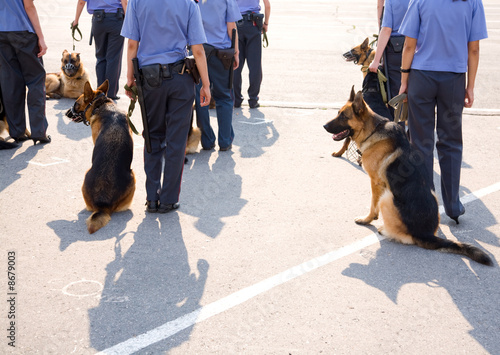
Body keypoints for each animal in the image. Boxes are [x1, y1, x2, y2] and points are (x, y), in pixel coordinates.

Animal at [324, 87, 492, 268]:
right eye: (338, 113)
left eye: (343, 116)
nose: (324, 126)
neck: (373, 130)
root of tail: (427, 235)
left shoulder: (376, 183)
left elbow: (372, 206)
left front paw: (366, 220)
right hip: (432, 194)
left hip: (387, 198)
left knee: (403, 236)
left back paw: (384, 230)